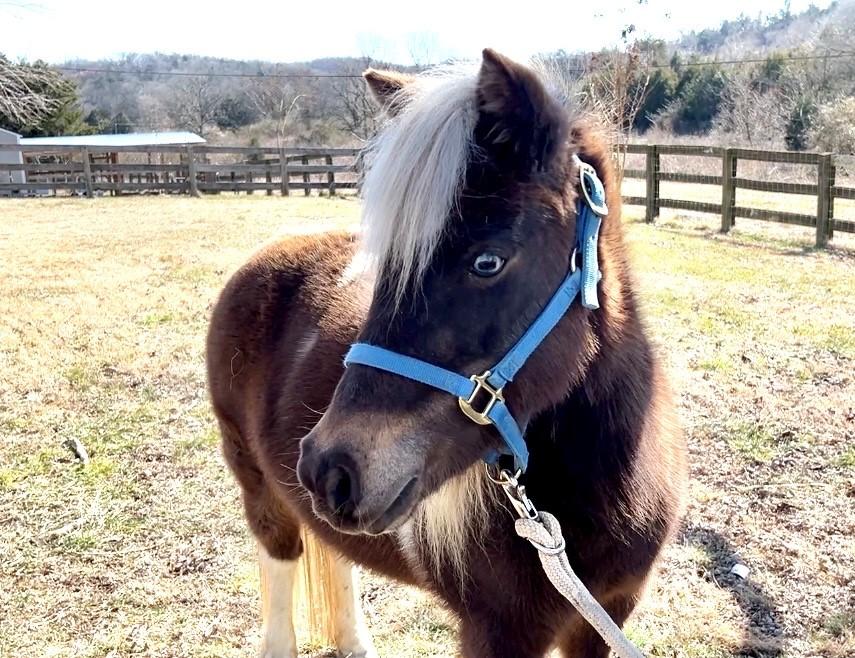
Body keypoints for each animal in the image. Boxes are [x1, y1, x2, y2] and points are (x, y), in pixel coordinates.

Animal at [206, 48, 687, 658]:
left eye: (487, 261)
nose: (326, 470)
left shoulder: (607, 614)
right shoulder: (497, 632)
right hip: (260, 487)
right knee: (280, 561)